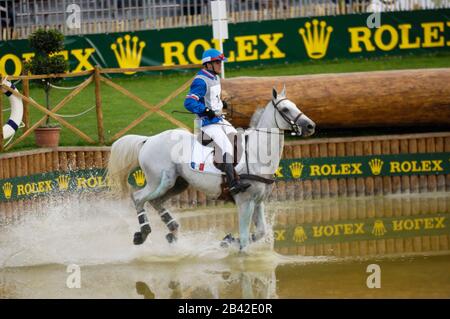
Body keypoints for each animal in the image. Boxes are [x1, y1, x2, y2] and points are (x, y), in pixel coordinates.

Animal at [107, 86, 314, 251]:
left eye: (296, 105)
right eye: (285, 109)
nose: (311, 126)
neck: (258, 154)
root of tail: (148, 140)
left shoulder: (258, 201)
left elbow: (260, 232)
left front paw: (228, 240)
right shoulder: (245, 202)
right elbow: (245, 242)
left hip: (178, 183)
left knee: (155, 201)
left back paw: (172, 231)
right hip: (160, 181)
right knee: (139, 198)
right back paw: (143, 233)